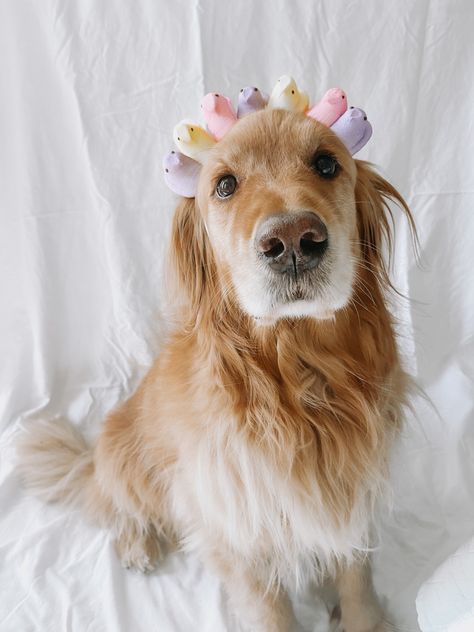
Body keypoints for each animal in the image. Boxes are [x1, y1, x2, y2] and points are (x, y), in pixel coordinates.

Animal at [16, 108, 414, 632]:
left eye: (327, 163)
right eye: (225, 185)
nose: (293, 241)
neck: (300, 382)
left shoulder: (356, 493)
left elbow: (356, 577)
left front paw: (361, 616)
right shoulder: (232, 529)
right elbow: (270, 612)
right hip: (128, 457)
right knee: (113, 502)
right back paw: (136, 543)